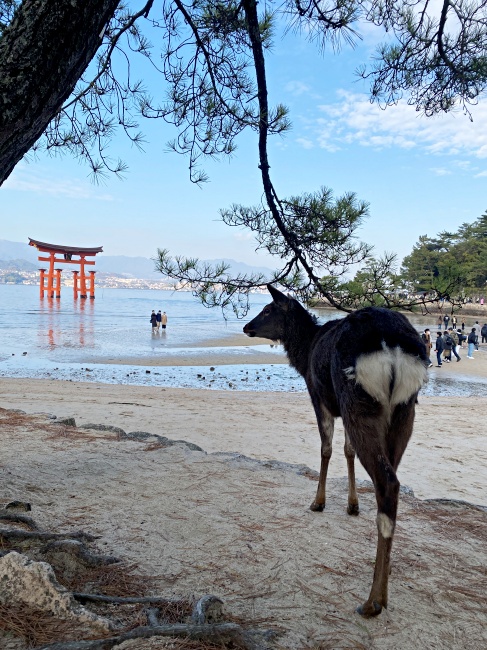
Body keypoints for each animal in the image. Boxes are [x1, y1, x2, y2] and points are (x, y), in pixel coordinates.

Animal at [244, 282, 428, 612]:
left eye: (267, 309)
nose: (246, 327)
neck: (304, 355)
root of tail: (392, 348)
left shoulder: (318, 396)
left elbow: (326, 448)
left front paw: (318, 502)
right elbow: (348, 450)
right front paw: (352, 505)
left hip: (357, 398)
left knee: (388, 482)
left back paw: (372, 601)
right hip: (403, 409)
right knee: (391, 477)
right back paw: (384, 586)